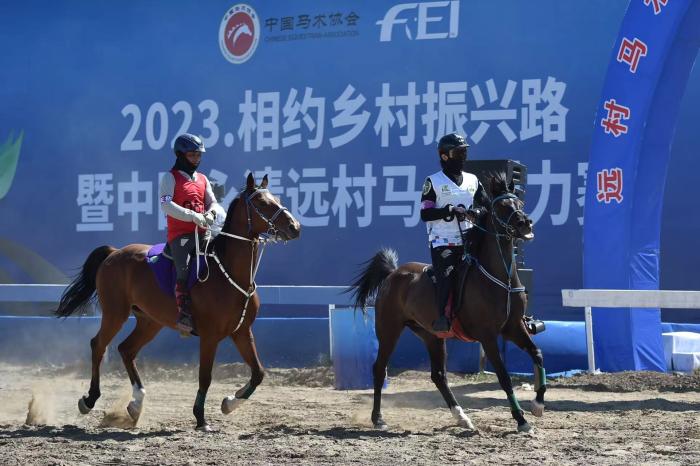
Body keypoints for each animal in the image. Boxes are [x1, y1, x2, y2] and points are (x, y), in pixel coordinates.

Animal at [55, 173, 301, 431]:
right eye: (262, 203)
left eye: (277, 199)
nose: (294, 227)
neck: (228, 271)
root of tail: (114, 253)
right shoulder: (210, 337)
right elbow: (205, 377)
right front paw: (201, 418)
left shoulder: (242, 332)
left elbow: (258, 372)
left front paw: (229, 403)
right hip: (115, 313)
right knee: (98, 345)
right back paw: (89, 399)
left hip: (150, 321)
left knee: (126, 349)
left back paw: (136, 403)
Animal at [347, 172, 545, 433]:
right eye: (502, 206)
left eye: (519, 202)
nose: (526, 223)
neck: (499, 278)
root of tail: (392, 274)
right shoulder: (488, 336)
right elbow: (504, 376)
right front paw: (521, 419)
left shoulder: (513, 327)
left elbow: (537, 354)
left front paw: (538, 404)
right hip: (389, 330)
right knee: (379, 368)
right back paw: (378, 418)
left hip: (432, 336)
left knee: (439, 375)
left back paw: (462, 417)